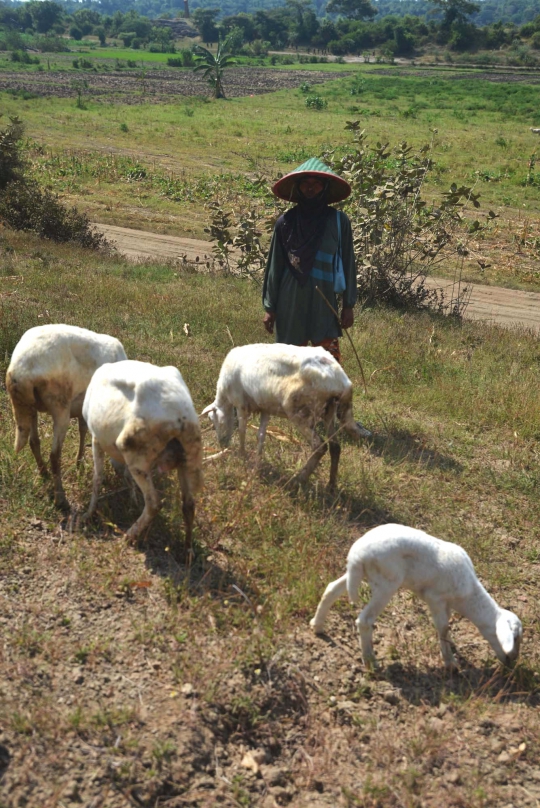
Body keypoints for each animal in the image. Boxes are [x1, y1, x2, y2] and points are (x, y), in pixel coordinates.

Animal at [6, 324, 127, 508]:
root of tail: (20, 372)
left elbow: (82, 429)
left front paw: (79, 463)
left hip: (30, 407)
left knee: (34, 442)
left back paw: (44, 473)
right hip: (59, 405)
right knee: (55, 455)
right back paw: (61, 499)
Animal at [82, 360, 202, 548]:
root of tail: (180, 417)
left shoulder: (96, 440)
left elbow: (97, 478)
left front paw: (88, 514)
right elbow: (125, 476)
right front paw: (133, 501)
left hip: (135, 454)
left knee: (154, 503)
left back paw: (129, 535)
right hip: (189, 456)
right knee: (189, 504)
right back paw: (187, 548)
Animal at [200, 344, 370, 490]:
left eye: (213, 421)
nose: (222, 443)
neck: (225, 397)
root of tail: (342, 381)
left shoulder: (241, 405)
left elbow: (242, 432)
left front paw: (242, 457)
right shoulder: (266, 408)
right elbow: (260, 436)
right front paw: (257, 463)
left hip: (298, 410)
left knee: (319, 445)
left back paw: (299, 479)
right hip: (329, 410)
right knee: (335, 447)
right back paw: (331, 485)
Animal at [312, 524, 524, 668]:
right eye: (513, 638)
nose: (511, 661)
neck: (467, 596)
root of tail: (357, 554)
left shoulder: (445, 604)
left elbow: (446, 628)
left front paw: (451, 647)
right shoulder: (436, 599)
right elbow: (443, 628)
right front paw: (450, 662)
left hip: (358, 575)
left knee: (331, 589)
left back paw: (317, 626)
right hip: (386, 583)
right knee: (365, 620)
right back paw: (370, 661)